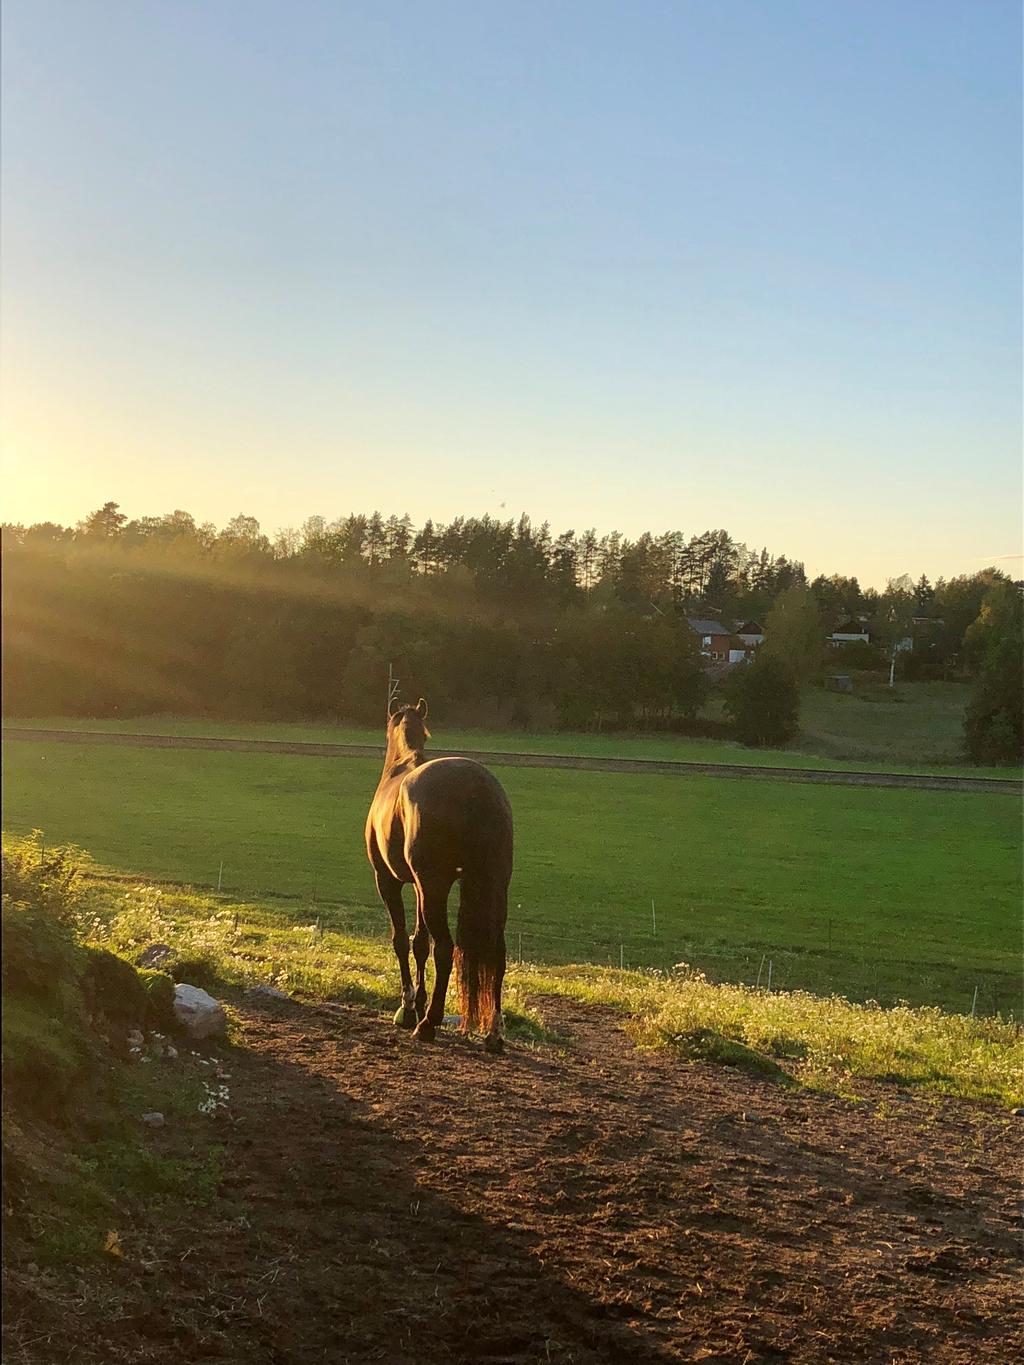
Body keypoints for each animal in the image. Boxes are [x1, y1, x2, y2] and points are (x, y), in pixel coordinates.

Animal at [365, 698, 516, 1048]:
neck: (400, 766)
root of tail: (475, 786)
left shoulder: (389, 881)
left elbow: (402, 940)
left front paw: (409, 1007)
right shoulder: (418, 886)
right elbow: (419, 942)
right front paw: (416, 1003)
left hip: (434, 887)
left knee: (446, 948)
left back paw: (429, 1023)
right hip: (492, 887)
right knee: (497, 953)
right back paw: (493, 1032)